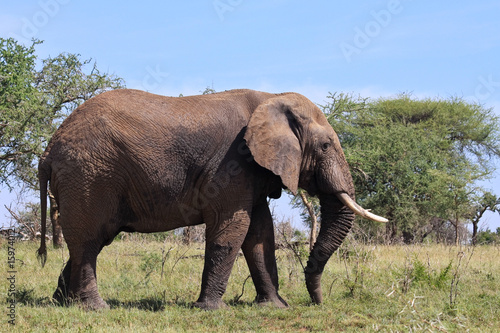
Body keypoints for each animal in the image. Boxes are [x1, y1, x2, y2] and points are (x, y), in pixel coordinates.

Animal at [38, 87, 386, 308]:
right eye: (326, 146)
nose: (317, 302)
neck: (272, 98)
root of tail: (49, 148)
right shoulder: (232, 163)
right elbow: (231, 230)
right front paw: (212, 309)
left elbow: (260, 234)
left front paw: (274, 307)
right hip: (90, 175)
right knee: (89, 241)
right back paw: (95, 307)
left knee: (93, 239)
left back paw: (61, 301)